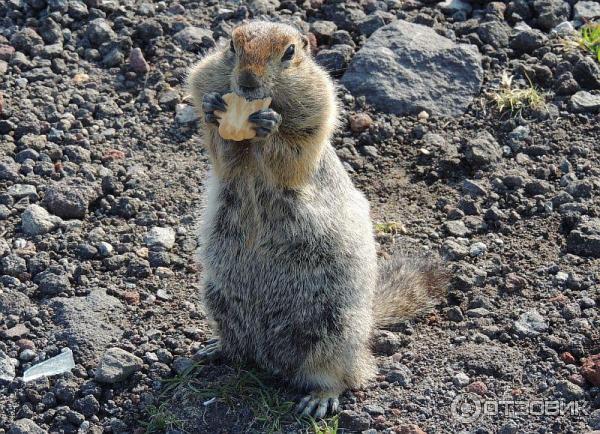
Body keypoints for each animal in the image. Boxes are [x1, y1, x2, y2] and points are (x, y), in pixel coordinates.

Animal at [190, 21, 448, 420]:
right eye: (231, 46)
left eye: (290, 53)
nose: (246, 82)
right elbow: (221, 152)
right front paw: (213, 108)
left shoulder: (316, 112)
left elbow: (293, 156)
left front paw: (269, 124)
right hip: (216, 296)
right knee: (238, 345)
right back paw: (215, 348)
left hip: (333, 327)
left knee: (342, 374)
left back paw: (320, 397)